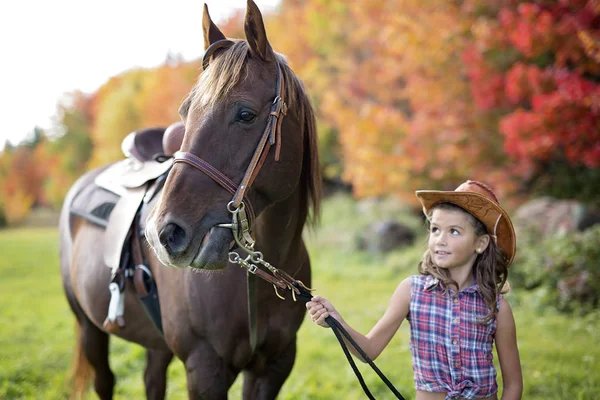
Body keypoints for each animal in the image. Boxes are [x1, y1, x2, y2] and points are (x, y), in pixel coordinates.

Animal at [59, 1, 324, 398]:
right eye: (186, 113)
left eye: (245, 114)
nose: (165, 234)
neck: (258, 276)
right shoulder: (204, 369)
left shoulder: (274, 366)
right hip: (90, 328)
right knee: (103, 380)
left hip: (154, 344)